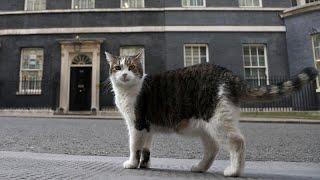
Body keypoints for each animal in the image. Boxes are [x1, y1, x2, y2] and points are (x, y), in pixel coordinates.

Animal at [104, 50, 318, 176]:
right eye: (117, 67)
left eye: (131, 67)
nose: (124, 75)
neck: (129, 90)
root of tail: (227, 73)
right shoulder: (147, 127)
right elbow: (146, 148)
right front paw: (145, 164)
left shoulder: (137, 123)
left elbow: (134, 146)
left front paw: (132, 163)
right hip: (206, 127)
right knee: (213, 148)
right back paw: (200, 168)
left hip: (218, 120)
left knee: (237, 142)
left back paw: (234, 171)